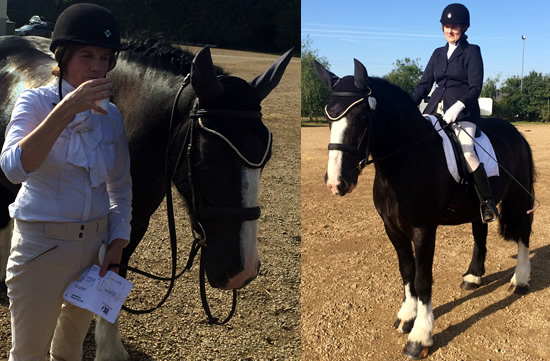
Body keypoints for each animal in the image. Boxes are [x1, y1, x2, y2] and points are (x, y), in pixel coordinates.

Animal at [0, 35, 294, 358]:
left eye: (266, 156)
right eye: (209, 155)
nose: (242, 271)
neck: (126, 115)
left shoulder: (133, 222)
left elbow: (116, 268)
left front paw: (109, 347)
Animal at [316, 58, 536, 358]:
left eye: (361, 117)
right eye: (329, 118)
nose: (336, 182)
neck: (405, 161)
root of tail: (515, 132)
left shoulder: (423, 230)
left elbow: (422, 279)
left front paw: (419, 337)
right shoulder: (392, 228)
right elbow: (406, 270)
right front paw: (406, 317)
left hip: (518, 196)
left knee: (523, 233)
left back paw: (520, 281)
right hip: (479, 206)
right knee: (480, 233)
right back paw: (473, 277)